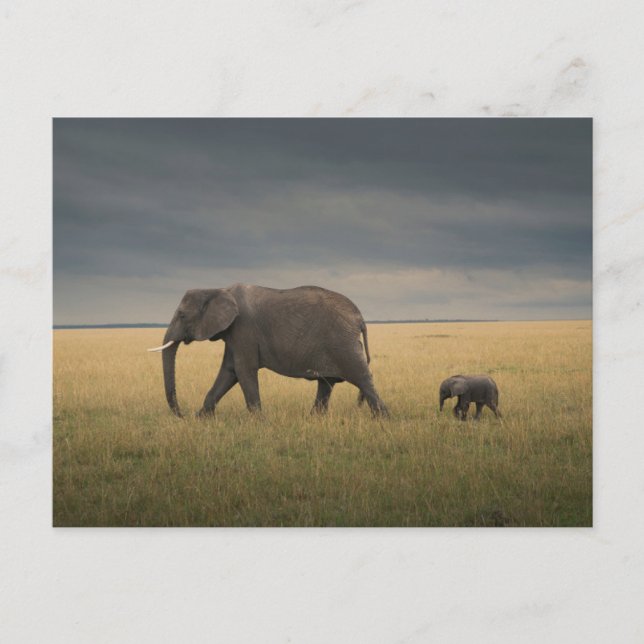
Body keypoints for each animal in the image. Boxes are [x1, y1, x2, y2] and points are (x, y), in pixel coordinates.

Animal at [148, 283, 388, 418]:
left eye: (182, 315)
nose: (182, 415)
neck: (217, 289)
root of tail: (360, 318)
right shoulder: (233, 333)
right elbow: (229, 372)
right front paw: (201, 418)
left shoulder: (243, 328)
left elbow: (243, 370)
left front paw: (259, 422)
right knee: (326, 383)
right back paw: (314, 419)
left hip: (343, 342)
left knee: (362, 378)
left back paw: (382, 419)